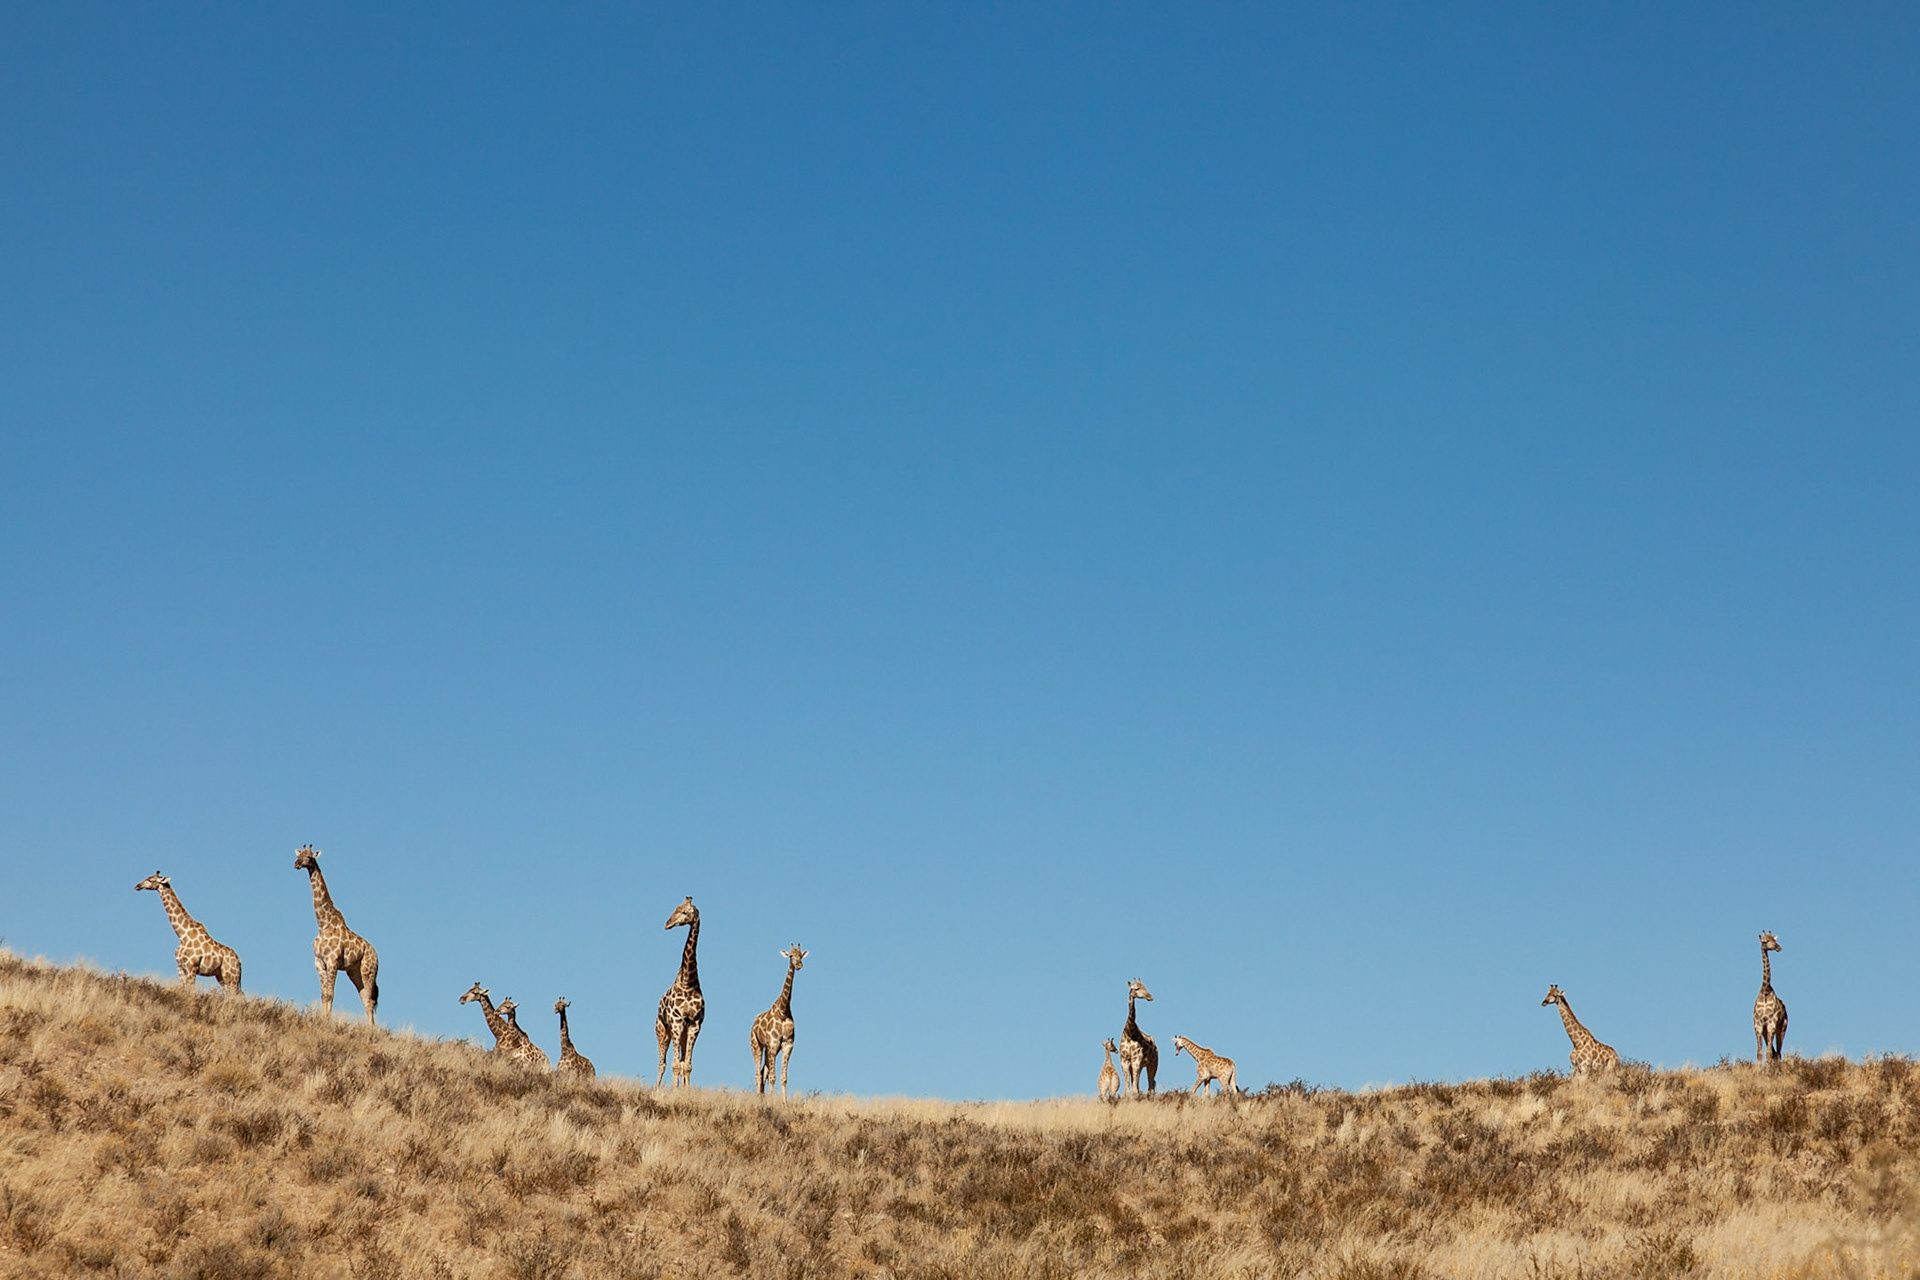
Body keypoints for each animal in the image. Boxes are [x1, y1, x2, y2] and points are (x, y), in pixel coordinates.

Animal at [292, 846, 379, 1025]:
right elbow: (324, 994)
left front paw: (328, 1021)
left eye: (309, 857)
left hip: (368, 971)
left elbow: (331, 994)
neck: (323, 924)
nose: (296, 864)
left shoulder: (332, 961)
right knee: (365, 998)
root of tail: (377, 956)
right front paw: (322, 1018)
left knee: (369, 999)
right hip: (354, 972)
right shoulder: (319, 962)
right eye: (299, 855)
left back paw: (372, 1029)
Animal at [654, 896, 705, 1089]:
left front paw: (685, 1092)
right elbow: (675, 1065)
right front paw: (674, 1092)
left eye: (684, 912)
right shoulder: (676, 1022)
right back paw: (657, 1089)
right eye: (675, 908)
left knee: (681, 1061)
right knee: (662, 1063)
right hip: (662, 1030)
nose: (667, 924)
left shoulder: (694, 1024)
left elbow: (687, 1065)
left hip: (682, 1033)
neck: (688, 983)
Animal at [750, 944, 808, 1098]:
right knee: (758, 1074)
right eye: (791, 956)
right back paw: (759, 1098)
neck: (783, 1010)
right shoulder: (773, 1043)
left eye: (801, 955)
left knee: (763, 1072)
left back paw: (762, 1098)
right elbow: (773, 1076)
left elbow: (783, 1077)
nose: (799, 965)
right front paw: (772, 1100)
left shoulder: (787, 1045)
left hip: (769, 1049)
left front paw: (783, 1101)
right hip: (756, 1045)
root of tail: (754, 1024)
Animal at [1754, 931, 1788, 1067]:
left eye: (1774, 939)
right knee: (1775, 1053)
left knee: (1778, 1053)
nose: (1779, 947)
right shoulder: (1758, 1025)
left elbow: (1768, 1054)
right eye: (1766, 941)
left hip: (1782, 1028)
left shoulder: (1771, 1023)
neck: (1765, 991)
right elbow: (1759, 1053)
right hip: (1766, 1031)